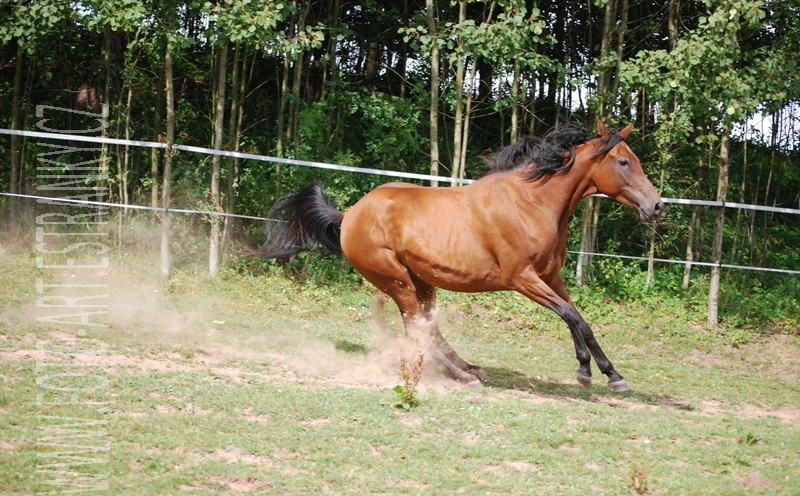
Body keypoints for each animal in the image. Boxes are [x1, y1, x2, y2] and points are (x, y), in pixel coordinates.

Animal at [256, 120, 664, 392]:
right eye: (624, 162)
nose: (656, 206)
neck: (532, 203)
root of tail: (349, 215)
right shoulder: (522, 278)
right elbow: (572, 316)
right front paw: (588, 373)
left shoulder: (551, 276)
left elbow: (579, 319)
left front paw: (610, 374)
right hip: (396, 280)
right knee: (417, 330)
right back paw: (463, 377)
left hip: (421, 281)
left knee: (429, 328)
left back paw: (469, 367)